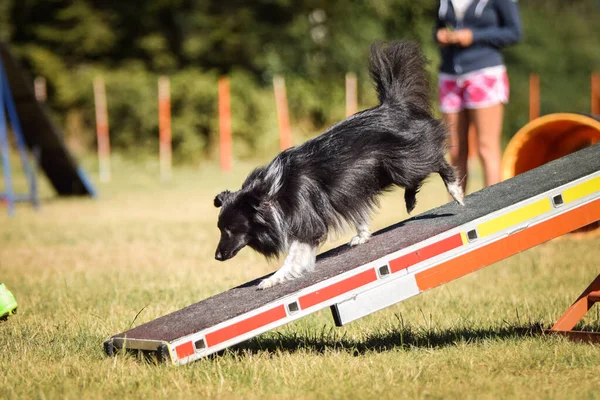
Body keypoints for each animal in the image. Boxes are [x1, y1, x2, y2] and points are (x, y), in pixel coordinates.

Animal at [214, 40, 464, 290]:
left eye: (230, 229)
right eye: (220, 229)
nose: (217, 256)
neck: (269, 194)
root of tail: (393, 105)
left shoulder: (307, 217)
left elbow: (295, 253)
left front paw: (271, 279)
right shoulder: (347, 191)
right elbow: (358, 215)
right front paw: (362, 235)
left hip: (401, 165)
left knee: (437, 161)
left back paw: (455, 192)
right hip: (384, 171)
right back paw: (410, 201)